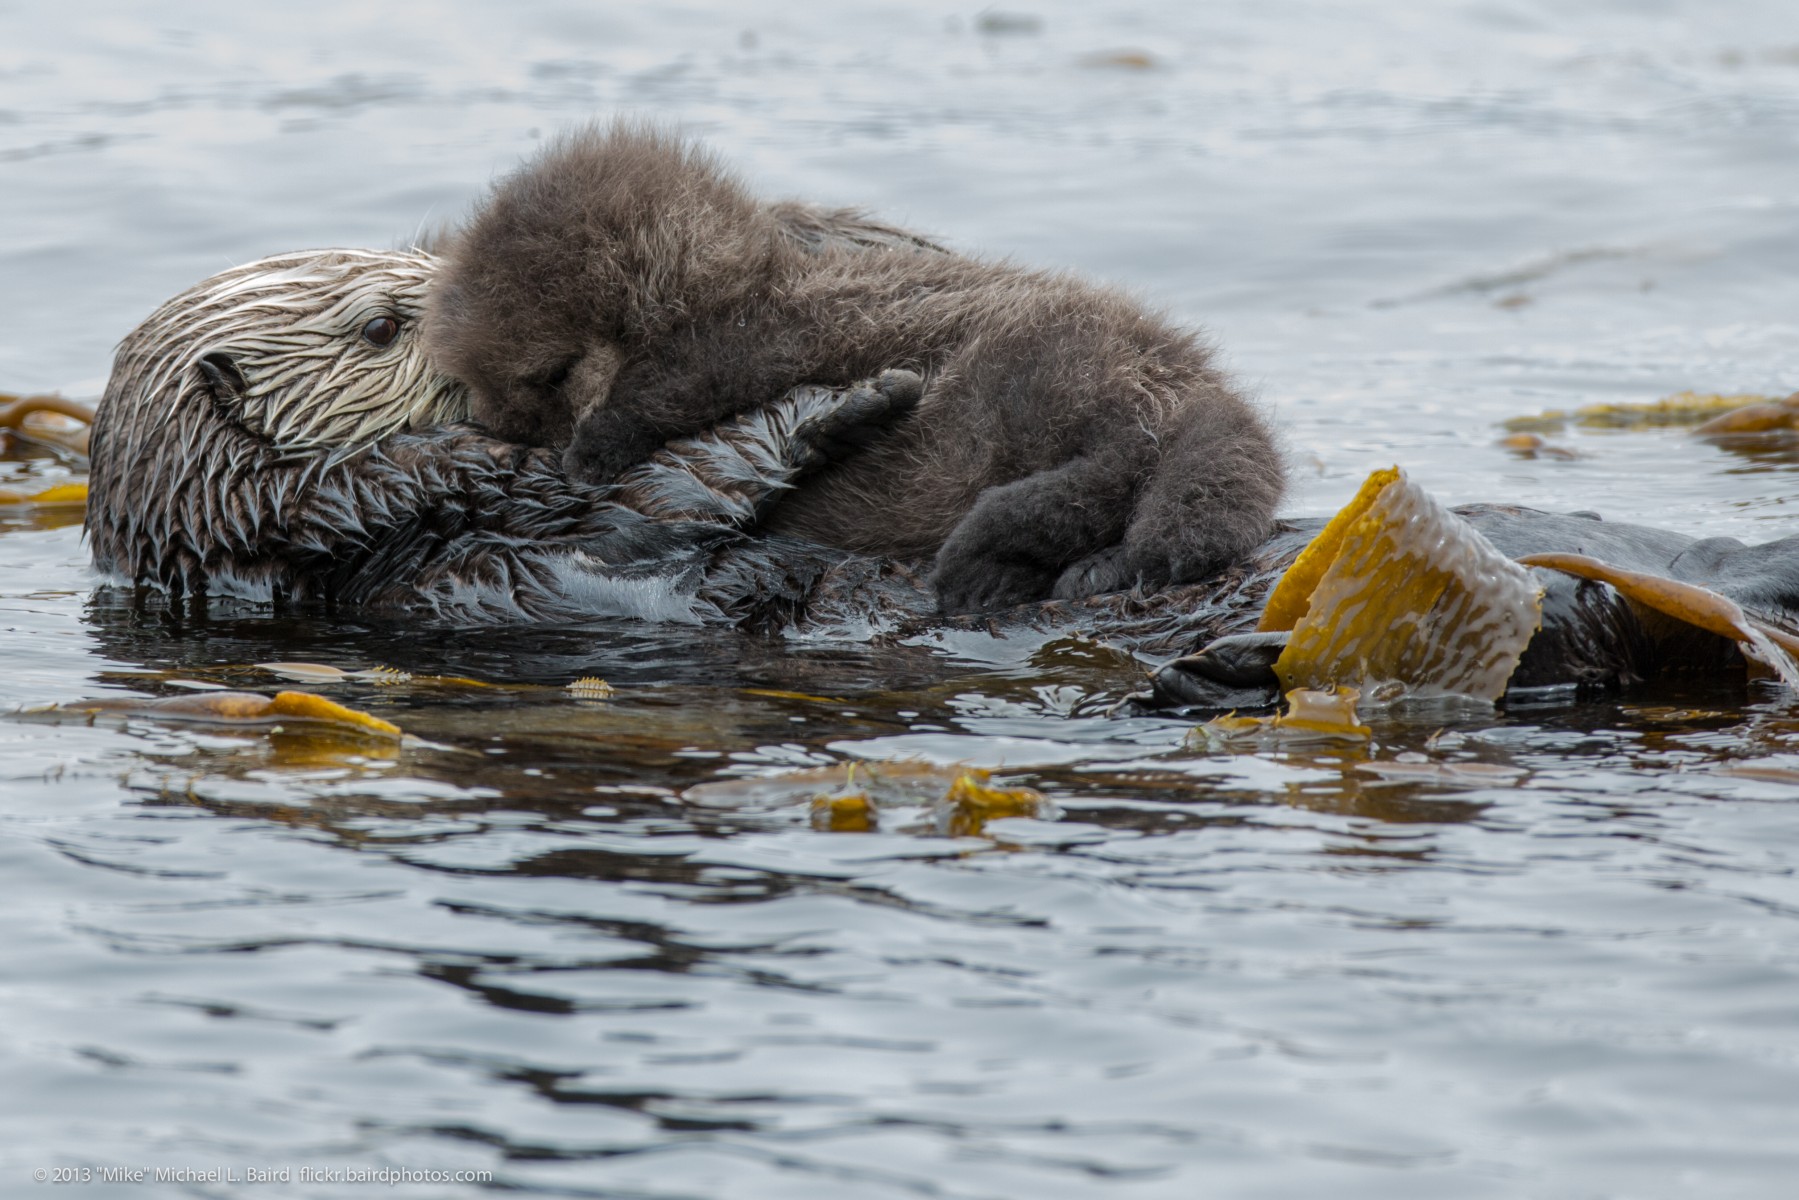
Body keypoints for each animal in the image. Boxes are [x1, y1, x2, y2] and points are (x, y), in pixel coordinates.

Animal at [422, 122, 1286, 614]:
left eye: (550, 375)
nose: (513, 433)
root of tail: (1186, 382)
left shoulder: (756, 332)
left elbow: (678, 383)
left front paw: (593, 446)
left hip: (1040, 381)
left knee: (1104, 470)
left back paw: (987, 558)